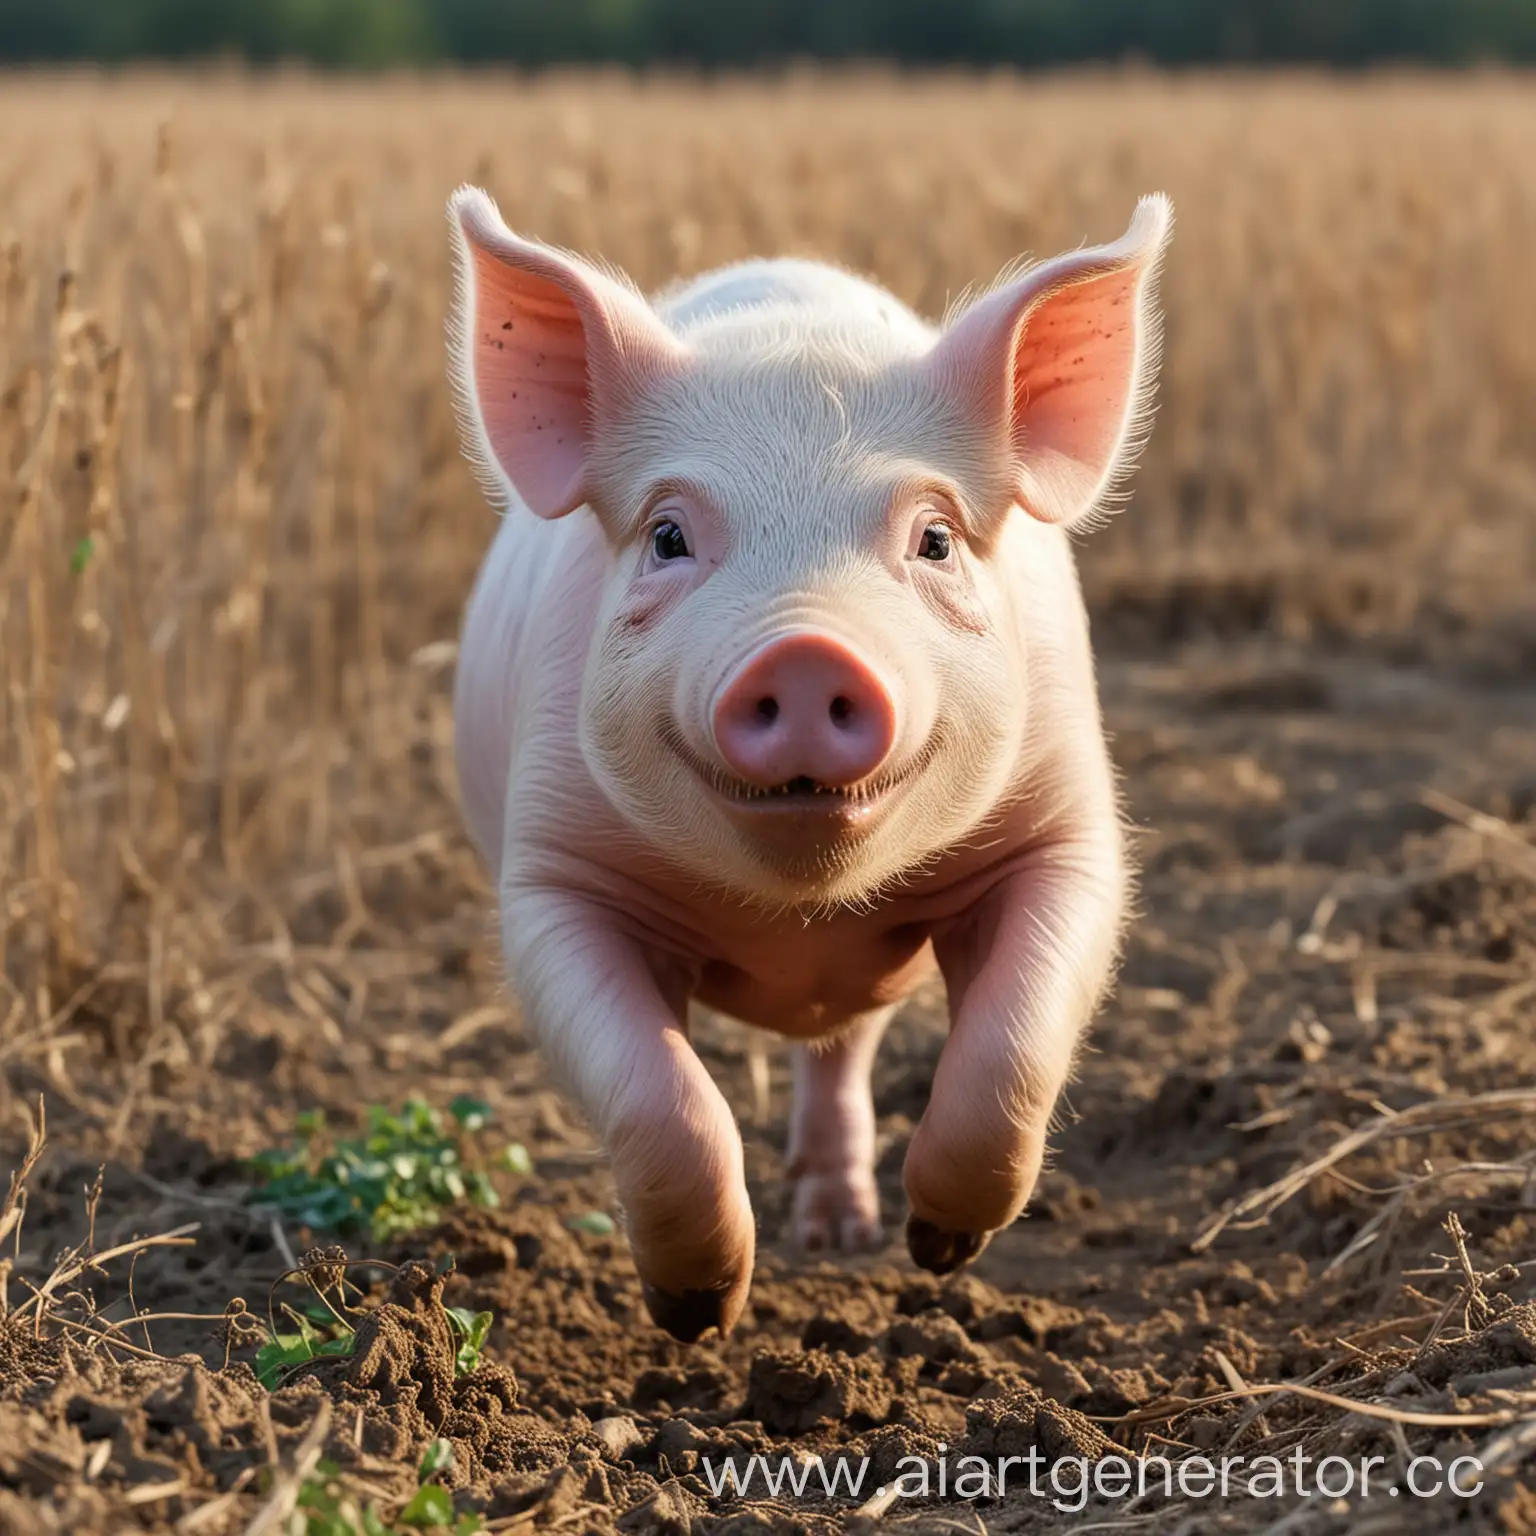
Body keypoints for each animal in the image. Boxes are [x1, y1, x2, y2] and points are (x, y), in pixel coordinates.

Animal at [445, 182, 1173, 1345]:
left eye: (935, 540)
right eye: (667, 537)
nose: (804, 650)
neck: (798, 914)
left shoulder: (1065, 830)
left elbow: (1012, 1051)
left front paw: (942, 1251)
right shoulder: (555, 874)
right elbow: (660, 1097)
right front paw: (699, 1316)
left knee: (845, 1051)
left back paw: (847, 1240)